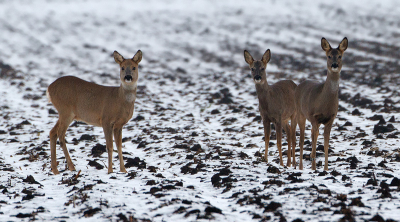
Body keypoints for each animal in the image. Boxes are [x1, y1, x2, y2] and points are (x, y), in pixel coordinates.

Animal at [296, 37, 348, 171]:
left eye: (340, 56)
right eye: (329, 56)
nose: (334, 65)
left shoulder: (331, 119)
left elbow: (325, 144)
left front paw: (326, 168)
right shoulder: (314, 116)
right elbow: (315, 141)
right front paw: (314, 166)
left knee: (311, 134)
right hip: (300, 113)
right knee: (302, 139)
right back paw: (301, 166)